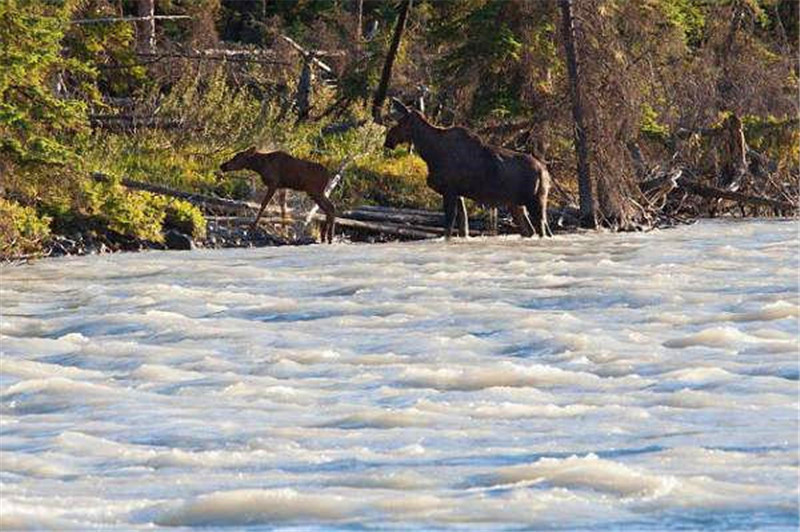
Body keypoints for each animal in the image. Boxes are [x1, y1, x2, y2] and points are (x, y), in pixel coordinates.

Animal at [382, 99, 552, 239]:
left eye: (401, 122)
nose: (387, 140)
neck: (430, 153)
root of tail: (545, 172)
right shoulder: (458, 193)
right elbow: (463, 226)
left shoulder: (449, 190)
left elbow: (449, 227)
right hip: (516, 204)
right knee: (530, 231)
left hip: (536, 202)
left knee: (543, 231)